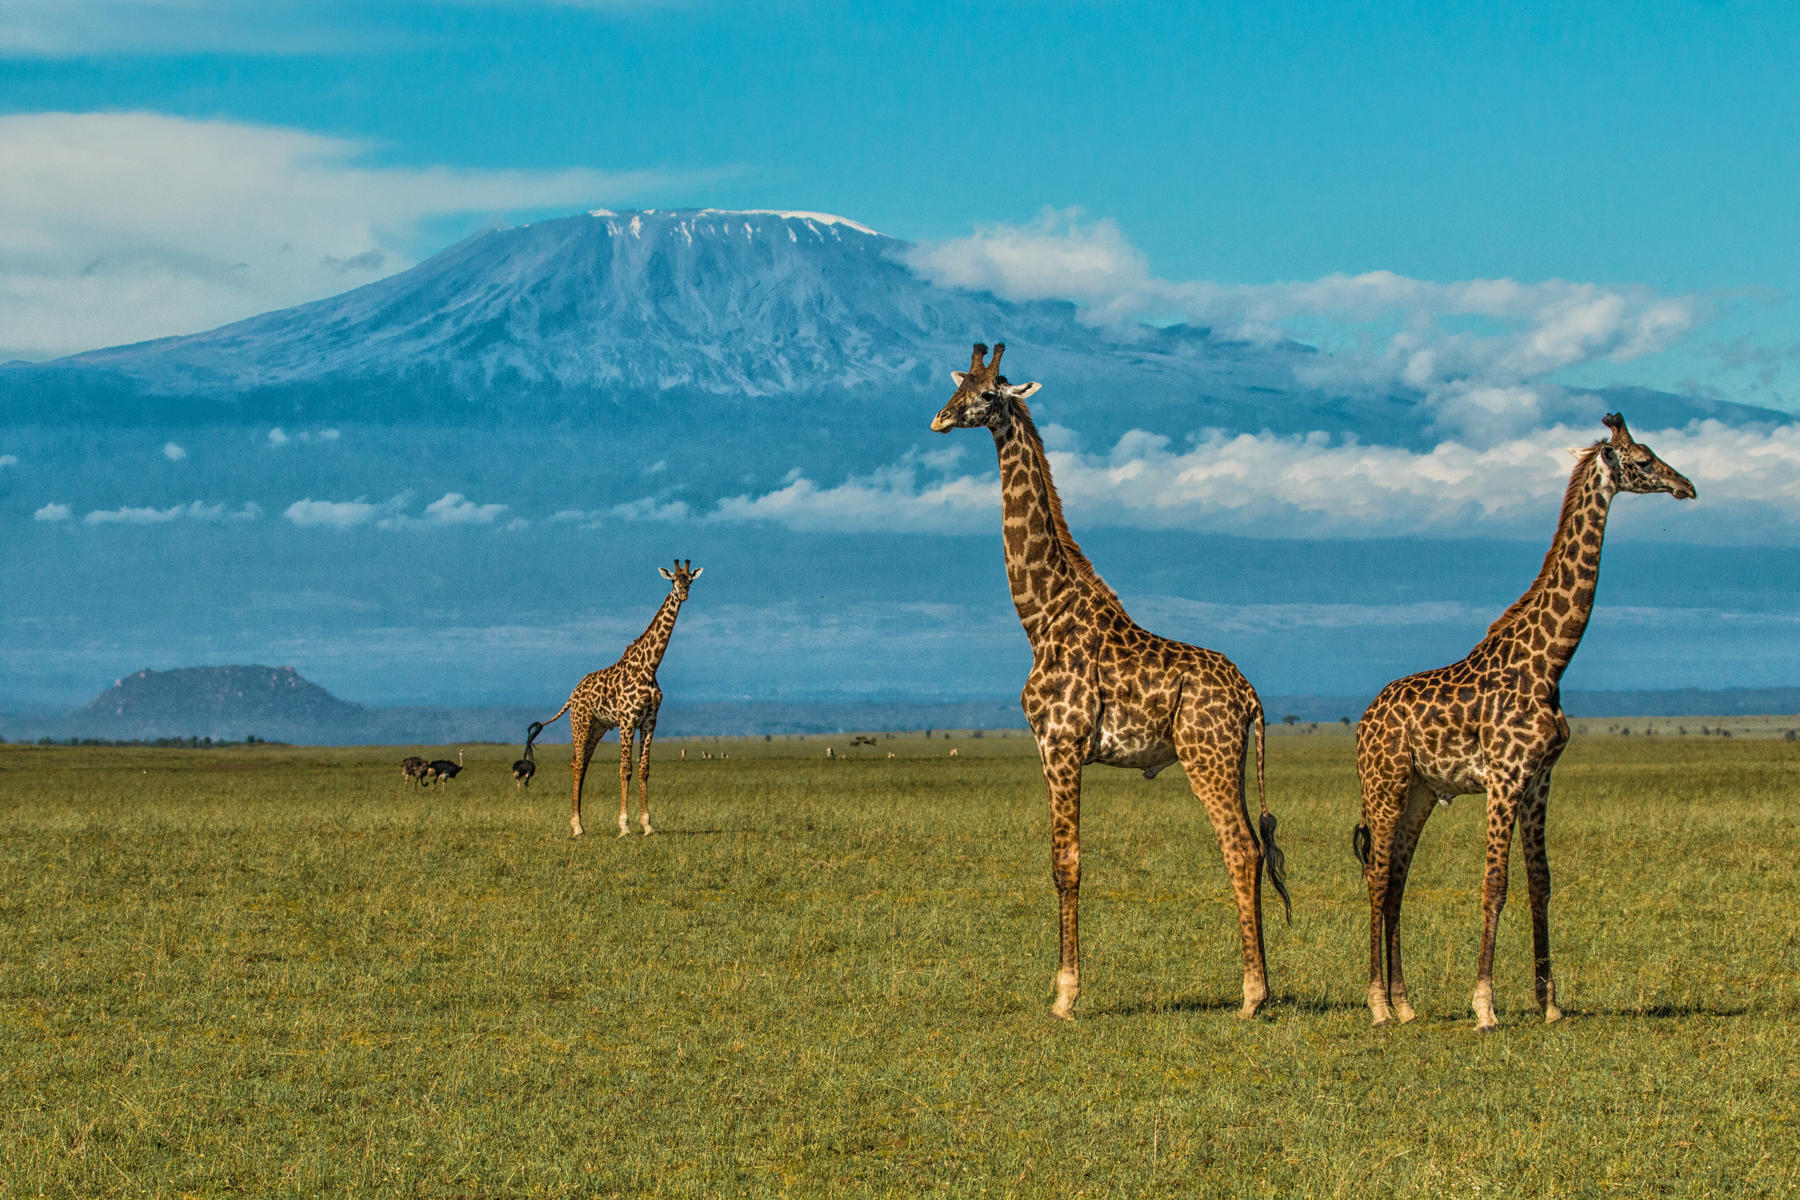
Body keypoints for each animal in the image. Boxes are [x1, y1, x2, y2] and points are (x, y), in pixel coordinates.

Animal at [522, 561, 702, 834]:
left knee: (583, 763)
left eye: (689, 580)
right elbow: (625, 768)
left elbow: (643, 769)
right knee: (576, 764)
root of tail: (572, 694)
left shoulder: (649, 721)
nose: (683, 594)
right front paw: (624, 825)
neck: (650, 667)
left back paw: (580, 823)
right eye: (673, 580)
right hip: (581, 723)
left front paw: (647, 825)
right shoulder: (627, 720)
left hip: (597, 727)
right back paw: (577, 827)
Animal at [936, 341, 1288, 1021]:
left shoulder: (1060, 743)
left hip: (1206, 757)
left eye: (989, 393)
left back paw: (1252, 996)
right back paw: (1256, 989)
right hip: (1229, 760)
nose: (939, 419)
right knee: (1253, 849)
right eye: (957, 385)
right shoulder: (1054, 748)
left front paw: (1065, 995)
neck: (1040, 614)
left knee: (1239, 847)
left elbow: (1065, 862)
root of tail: (1253, 697)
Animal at [1353, 415, 1692, 1036]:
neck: (1550, 661)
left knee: (1397, 884)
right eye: (1643, 459)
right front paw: (1484, 1005)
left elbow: (1542, 883)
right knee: (1378, 878)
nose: (1687, 486)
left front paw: (1549, 1003)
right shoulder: (1505, 779)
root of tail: (1364, 720)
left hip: (1419, 793)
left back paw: (1407, 1004)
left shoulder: (1539, 781)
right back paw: (1379, 1005)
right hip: (1384, 784)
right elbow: (1495, 883)